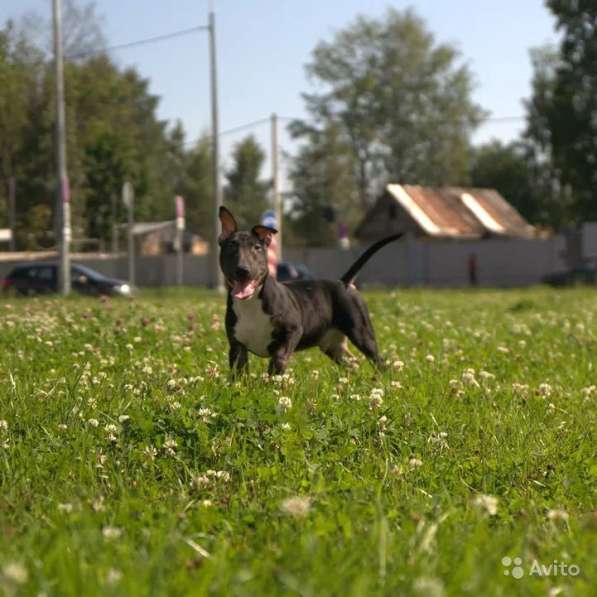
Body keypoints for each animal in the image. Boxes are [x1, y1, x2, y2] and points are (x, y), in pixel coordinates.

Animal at [218, 205, 400, 372]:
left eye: (256, 247)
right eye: (231, 246)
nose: (243, 270)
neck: (251, 302)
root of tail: (343, 283)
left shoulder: (293, 330)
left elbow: (279, 356)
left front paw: (273, 377)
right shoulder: (237, 347)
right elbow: (238, 374)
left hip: (361, 330)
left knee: (379, 361)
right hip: (333, 345)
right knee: (352, 365)